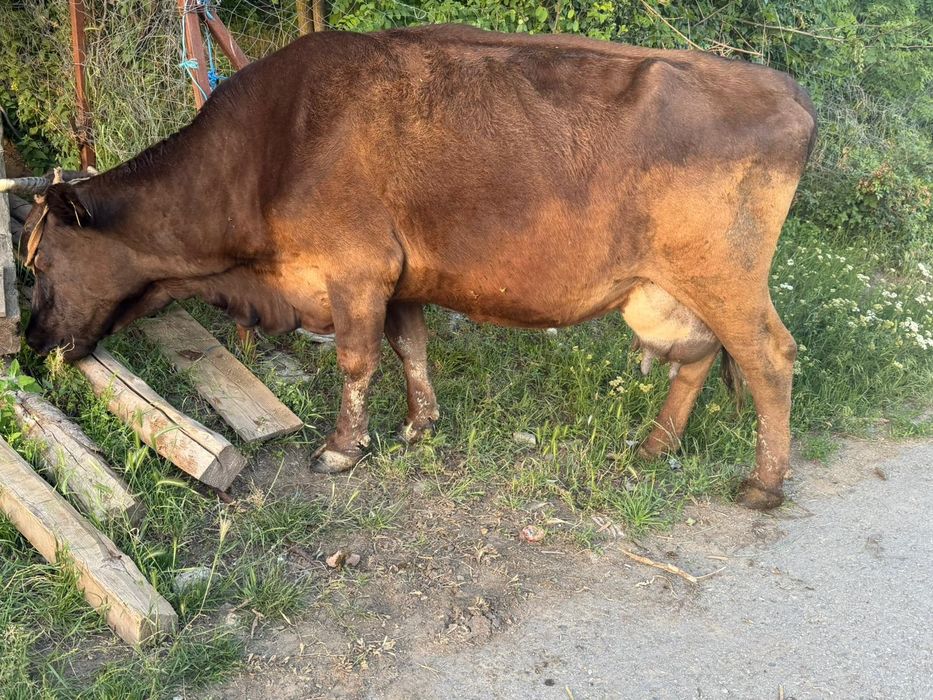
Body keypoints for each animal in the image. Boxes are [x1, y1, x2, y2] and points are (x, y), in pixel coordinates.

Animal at [20, 24, 816, 510]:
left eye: (41, 263)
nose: (29, 343)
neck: (265, 157)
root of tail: (786, 90)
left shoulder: (356, 271)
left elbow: (356, 361)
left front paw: (342, 449)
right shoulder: (400, 278)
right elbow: (410, 348)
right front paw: (418, 425)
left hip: (725, 276)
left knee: (769, 357)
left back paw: (763, 483)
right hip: (667, 290)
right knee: (700, 356)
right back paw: (654, 445)